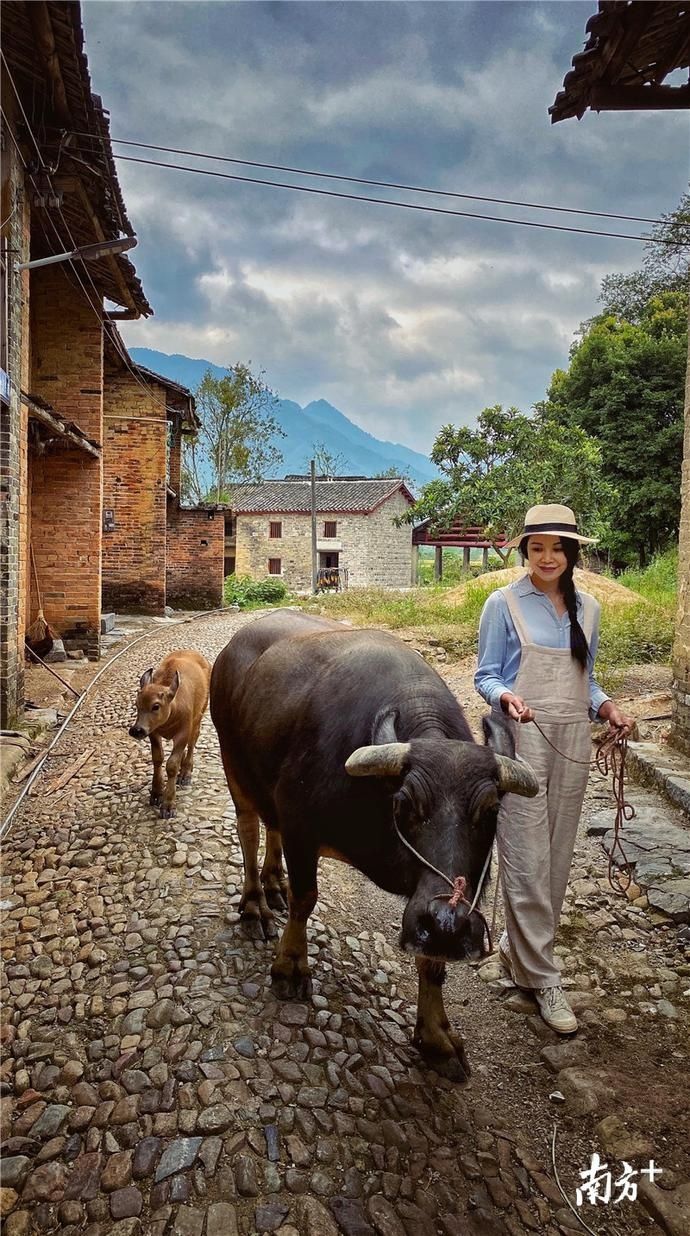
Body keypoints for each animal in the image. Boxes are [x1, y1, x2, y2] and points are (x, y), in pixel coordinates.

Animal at [129, 647, 211, 820]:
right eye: (137, 704)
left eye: (156, 706)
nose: (137, 730)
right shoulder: (153, 732)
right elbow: (157, 758)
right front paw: (156, 793)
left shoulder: (183, 732)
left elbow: (172, 765)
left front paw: (168, 804)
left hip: (199, 716)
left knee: (192, 742)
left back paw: (186, 772)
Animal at [212, 610, 541, 1082]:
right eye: (404, 803)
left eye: (491, 809)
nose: (448, 923)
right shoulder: (300, 825)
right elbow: (305, 899)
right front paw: (290, 966)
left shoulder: (435, 894)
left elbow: (432, 961)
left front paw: (437, 1038)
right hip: (233, 763)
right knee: (249, 829)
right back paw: (256, 904)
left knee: (268, 830)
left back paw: (274, 885)